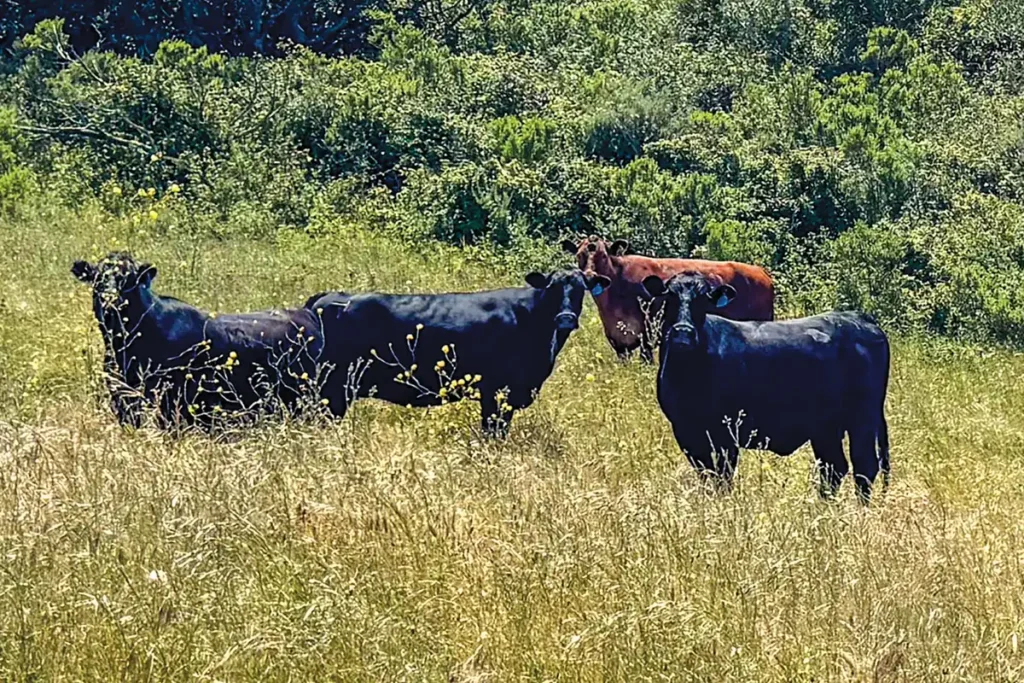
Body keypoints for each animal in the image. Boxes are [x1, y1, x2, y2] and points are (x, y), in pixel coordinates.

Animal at [72, 253, 325, 429]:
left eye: (129, 280)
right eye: (97, 278)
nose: (110, 300)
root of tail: (307, 312)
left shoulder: (173, 402)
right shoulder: (121, 396)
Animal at [307, 269, 609, 435]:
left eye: (581, 289)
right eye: (552, 288)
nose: (566, 319)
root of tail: (328, 297)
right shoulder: (497, 393)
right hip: (332, 390)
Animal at [564, 236, 775, 361]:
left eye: (603, 255)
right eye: (579, 255)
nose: (590, 276)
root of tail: (760, 271)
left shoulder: (647, 335)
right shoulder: (618, 341)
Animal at [641, 273, 890, 503]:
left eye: (703, 301)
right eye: (669, 297)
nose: (682, 332)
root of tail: (859, 317)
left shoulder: (726, 432)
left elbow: (723, 476)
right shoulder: (686, 431)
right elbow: (705, 473)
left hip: (862, 419)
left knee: (864, 467)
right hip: (826, 427)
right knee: (834, 467)